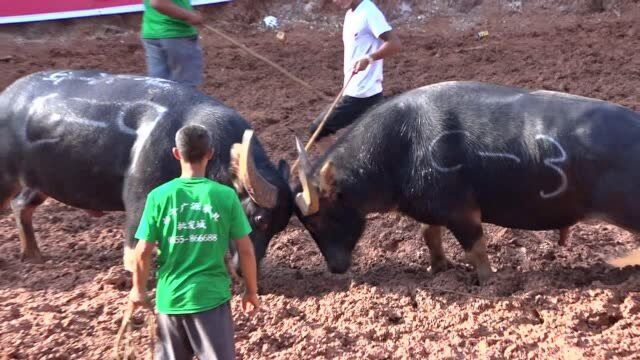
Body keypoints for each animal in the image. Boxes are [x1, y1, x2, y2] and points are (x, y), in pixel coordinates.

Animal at [0, 70, 294, 270]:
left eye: (280, 227)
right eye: (260, 219)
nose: (245, 271)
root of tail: (7, 96)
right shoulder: (139, 200)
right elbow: (135, 252)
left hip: (39, 183)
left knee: (21, 205)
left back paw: (33, 255)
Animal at [294, 80, 640, 282]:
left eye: (317, 221)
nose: (335, 268)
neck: (401, 146)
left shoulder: (462, 212)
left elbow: (476, 249)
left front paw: (489, 281)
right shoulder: (432, 209)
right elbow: (428, 235)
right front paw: (438, 269)